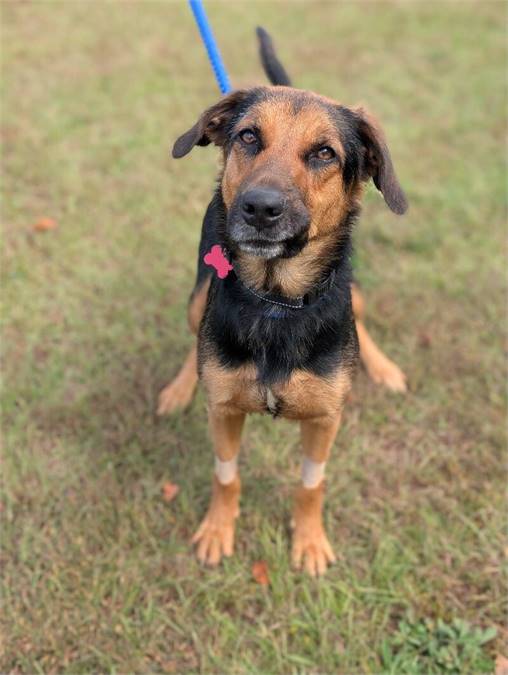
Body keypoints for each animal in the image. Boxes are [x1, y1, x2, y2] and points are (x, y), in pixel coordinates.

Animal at [160, 26, 408, 576]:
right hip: (198, 293)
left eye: (324, 154)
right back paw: (180, 387)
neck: (277, 301)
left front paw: (310, 541)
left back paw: (383, 368)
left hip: (356, 293)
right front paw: (218, 530)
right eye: (249, 136)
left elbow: (311, 484)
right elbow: (226, 474)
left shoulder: (323, 420)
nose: (259, 208)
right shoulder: (224, 411)